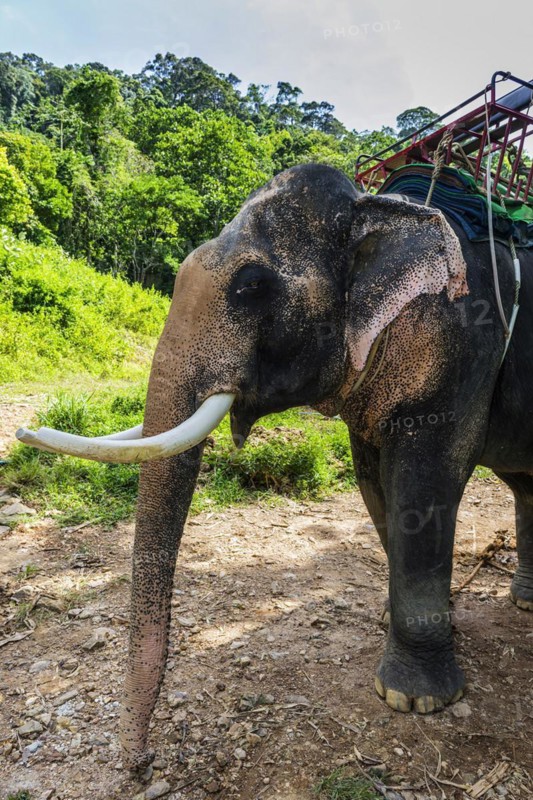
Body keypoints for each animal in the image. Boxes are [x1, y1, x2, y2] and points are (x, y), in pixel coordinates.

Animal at [16, 163, 533, 771]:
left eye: (252, 286)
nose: (139, 764)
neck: (374, 207)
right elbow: (374, 484)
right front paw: (404, 625)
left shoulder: (465, 345)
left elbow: (425, 486)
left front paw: (415, 699)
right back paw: (526, 601)